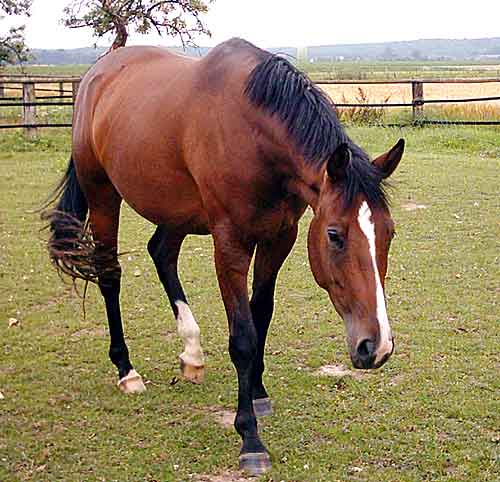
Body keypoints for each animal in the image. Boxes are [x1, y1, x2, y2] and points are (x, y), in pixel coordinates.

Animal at [41, 37, 404, 474]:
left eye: (389, 232)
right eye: (334, 235)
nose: (376, 347)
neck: (253, 134)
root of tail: (99, 73)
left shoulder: (280, 236)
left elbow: (261, 314)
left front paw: (259, 393)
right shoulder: (229, 243)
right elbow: (243, 335)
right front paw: (250, 437)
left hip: (176, 211)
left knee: (161, 254)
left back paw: (192, 354)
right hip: (103, 196)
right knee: (110, 275)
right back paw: (126, 371)